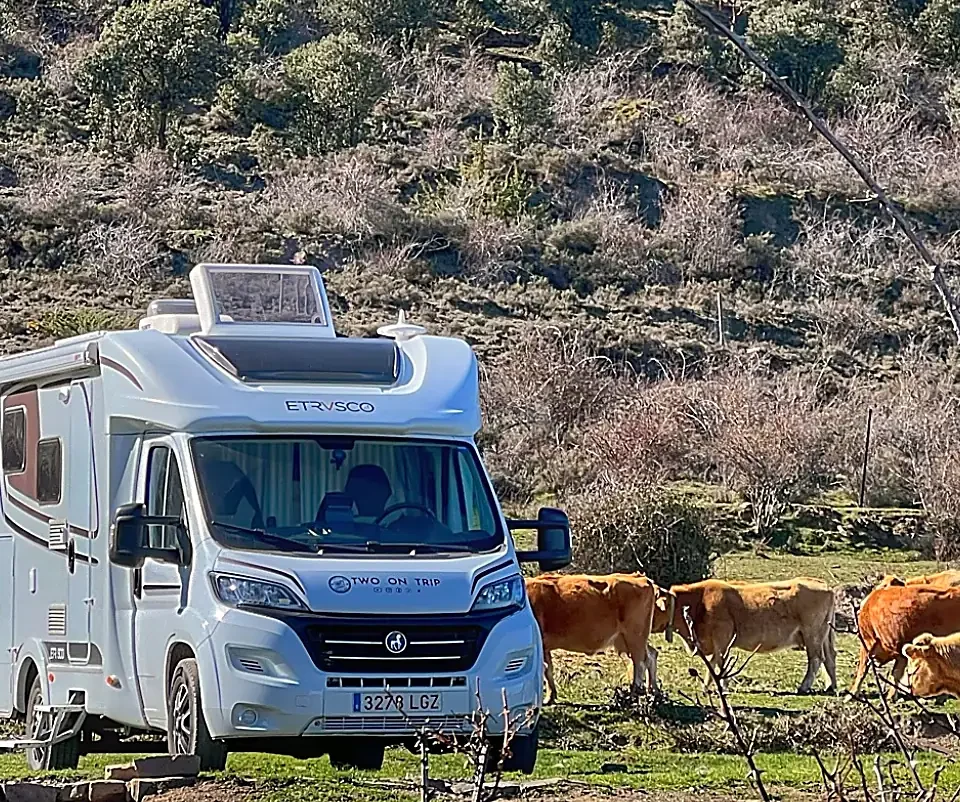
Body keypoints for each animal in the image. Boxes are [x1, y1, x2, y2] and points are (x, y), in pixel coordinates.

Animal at [525, 572, 676, 705]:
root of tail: (641, 577)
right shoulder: (544, 647)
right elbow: (548, 670)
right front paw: (551, 697)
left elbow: (544, 670)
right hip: (626, 639)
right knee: (651, 655)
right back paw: (653, 692)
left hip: (635, 636)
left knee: (640, 662)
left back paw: (634, 694)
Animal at [654, 578, 838, 694]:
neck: (700, 601)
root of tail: (824, 586)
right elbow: (715, 663)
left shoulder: (722, 638)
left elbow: (718, 663)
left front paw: (719, 686)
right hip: (823, 636)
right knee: (829, 657)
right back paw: (831, 686)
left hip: (812, 634)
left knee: (816, 659)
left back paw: (803, 687)